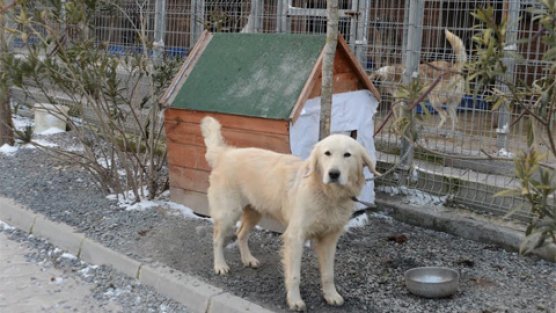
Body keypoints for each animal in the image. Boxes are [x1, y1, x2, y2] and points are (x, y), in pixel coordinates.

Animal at [201, 116, 382, 310]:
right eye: (327, 153)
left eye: (347, 155)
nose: (333, 174)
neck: (327, 194)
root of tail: (225, 154)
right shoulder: (295, 237)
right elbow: (295, 275)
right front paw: (295, 300)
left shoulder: (329, 239)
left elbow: (328, 274)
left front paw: (331, 295)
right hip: (228, 213)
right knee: (217, 239)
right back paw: (220, 265)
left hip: (255, 212)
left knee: (241, 233)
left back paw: (248, 259)